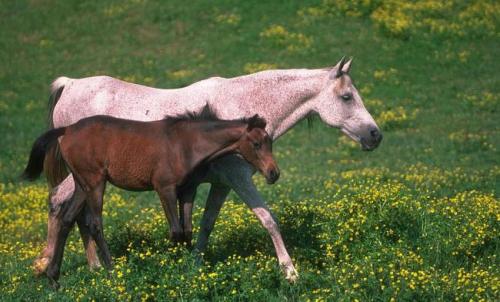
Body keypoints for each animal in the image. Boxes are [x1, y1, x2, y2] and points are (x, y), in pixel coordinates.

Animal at [23, 107, 280, 286]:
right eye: (256, 143)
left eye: (269, 142)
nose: (274, 173)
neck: (185, 144)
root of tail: (66, 130)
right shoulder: (164, 188)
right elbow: (176, 231)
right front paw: (173, 270)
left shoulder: (187, 190)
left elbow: (187, 231)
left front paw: (188, 270)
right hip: (95, 182)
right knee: (94, 223)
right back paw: (111, 271)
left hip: (81, 184)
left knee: (67, 219)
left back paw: (54, 278)